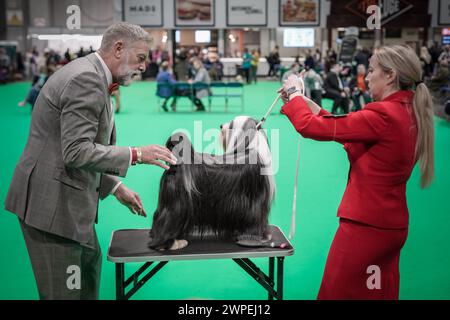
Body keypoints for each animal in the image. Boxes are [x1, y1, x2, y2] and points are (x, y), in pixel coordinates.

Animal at [149, 116, 274, 251]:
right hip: (177, 204)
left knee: (159, 216)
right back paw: (172, 244)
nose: (221, 125)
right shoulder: (255, 204)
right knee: (167, 223)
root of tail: (176, 163)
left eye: (231, 125)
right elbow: (256, 221)